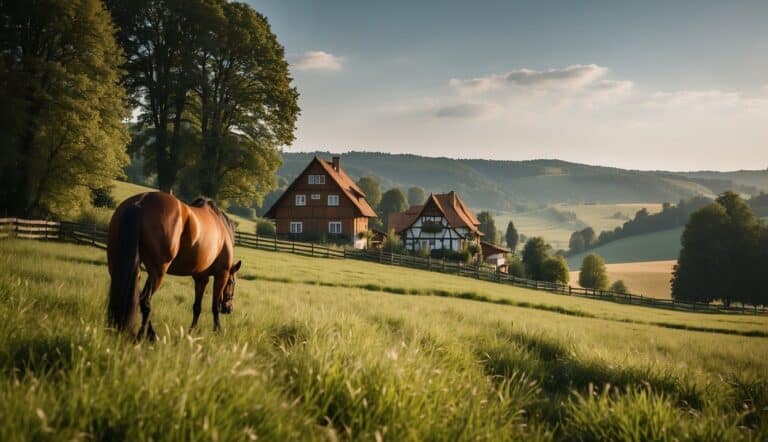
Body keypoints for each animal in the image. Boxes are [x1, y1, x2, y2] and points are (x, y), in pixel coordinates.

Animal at [106, 192, 242, 340]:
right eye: (233, 282)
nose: (229, 309)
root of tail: (140, 202)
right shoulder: (221, 275)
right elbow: (214, 307)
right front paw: (218, 331)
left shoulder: (201, 278)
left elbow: (197, 307)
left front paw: (191, 333)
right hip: (158, 272)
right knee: (145, 301)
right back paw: (145, 336)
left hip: (122, 266)